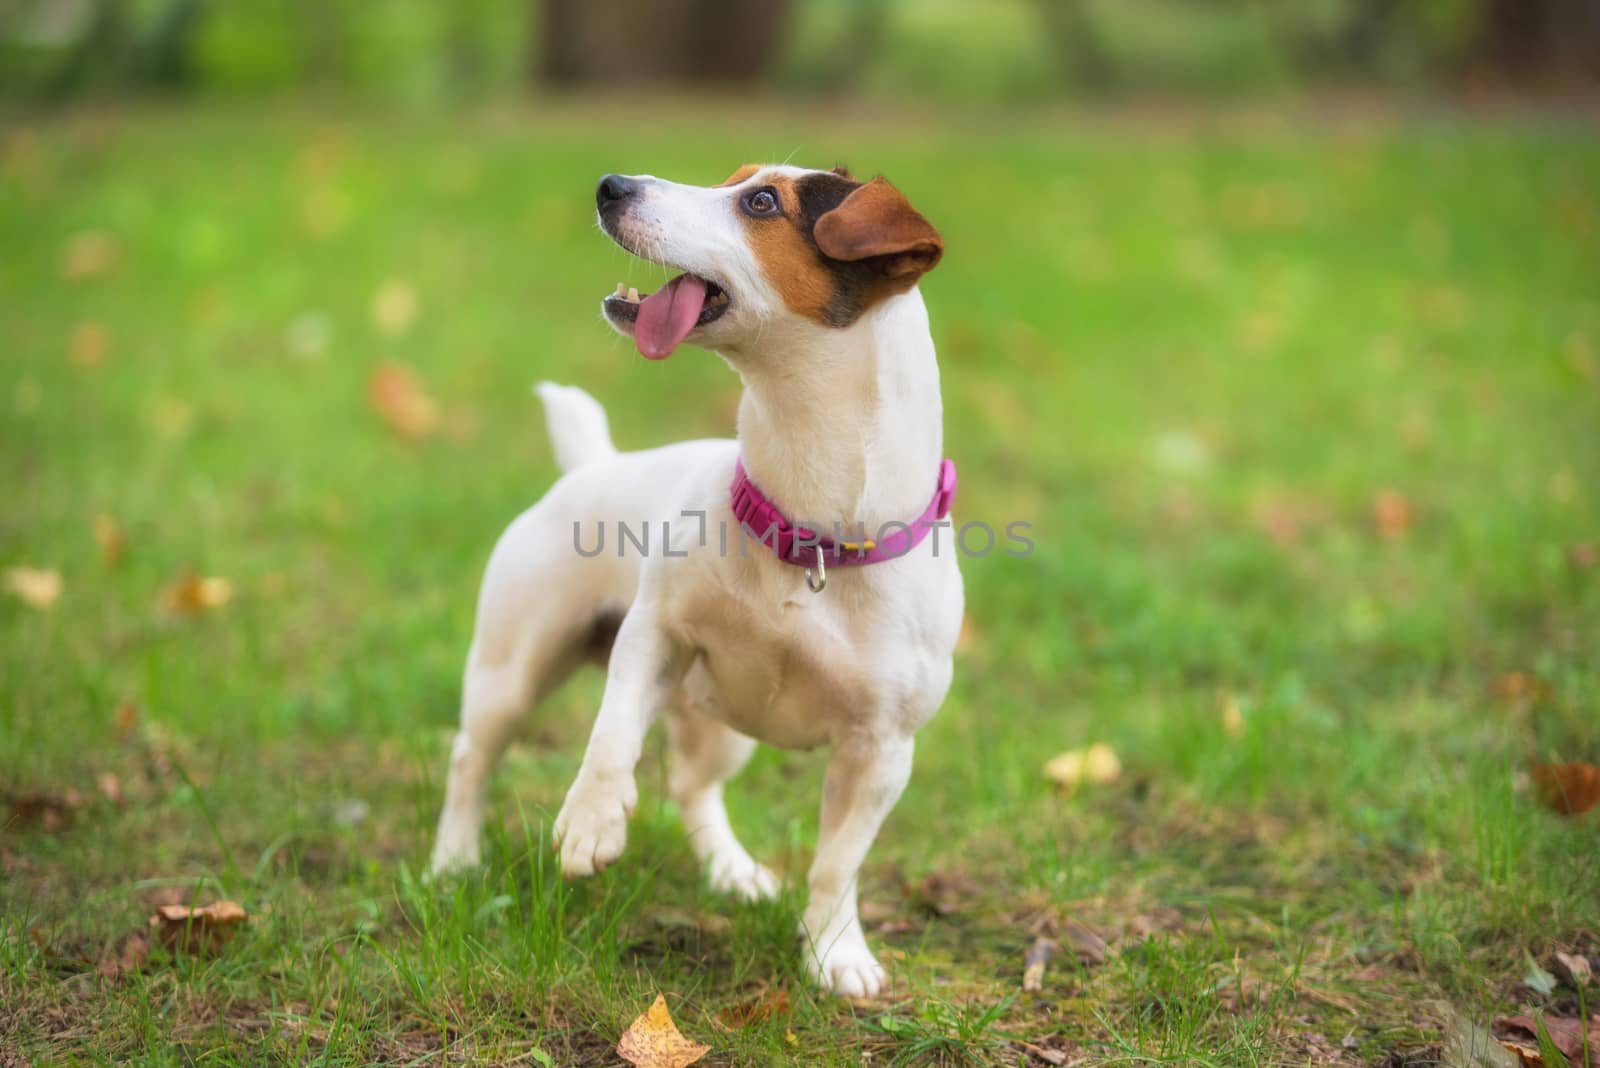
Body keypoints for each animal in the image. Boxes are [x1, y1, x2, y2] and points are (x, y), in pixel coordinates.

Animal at [425, 163, 966, 997]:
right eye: (738, 179)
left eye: (762, 202)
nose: (611, 183)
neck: (808, 535)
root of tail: (595, 463)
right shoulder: (653, 635)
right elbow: (610, 734)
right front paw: (591, 821)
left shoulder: (882, 752)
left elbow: (837, 864)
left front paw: (835, 952)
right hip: (513, 670)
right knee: (471, 758)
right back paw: (453, 860)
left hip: (721, 731)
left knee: (694, 788)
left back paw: (733, 873)